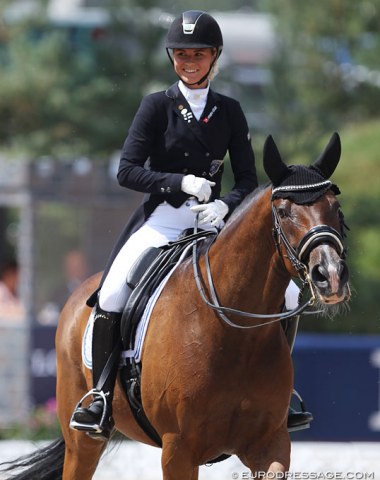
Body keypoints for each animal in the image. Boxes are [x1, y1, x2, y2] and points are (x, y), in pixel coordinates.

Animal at [0, 132, 350, 480]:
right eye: (283, 211)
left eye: (335, 207)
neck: (234, 333)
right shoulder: (178, 450)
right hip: (81, 441)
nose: (330, 276)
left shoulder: (270, 444)